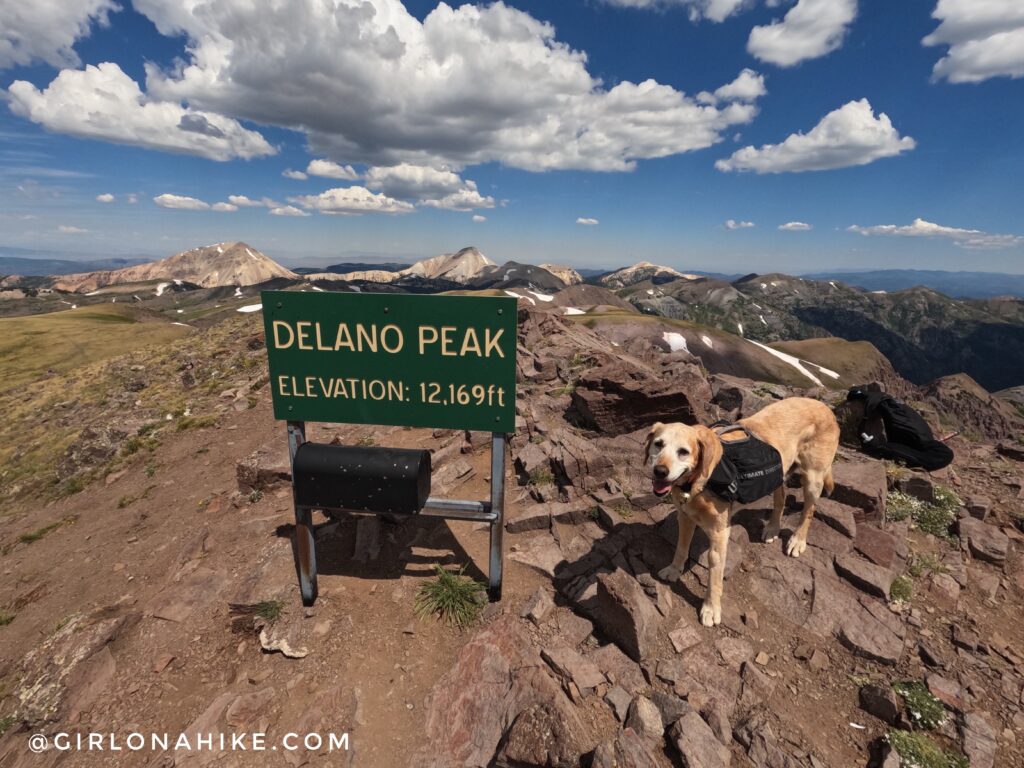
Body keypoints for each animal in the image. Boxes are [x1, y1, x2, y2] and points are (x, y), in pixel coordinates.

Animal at [647, 399, 839, 626]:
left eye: (683, 452)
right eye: (658, 444)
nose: (660, 471)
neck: (698, 482)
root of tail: (825, 408)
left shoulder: (720, 534)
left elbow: (714, 576)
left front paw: (711, 609)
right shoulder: (685, 517)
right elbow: (681, 548)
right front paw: (674, 570)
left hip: (813, 479)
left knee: (809, 511)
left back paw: (797, 540)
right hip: (778, 473)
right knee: (780, 499)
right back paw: (773, 528)